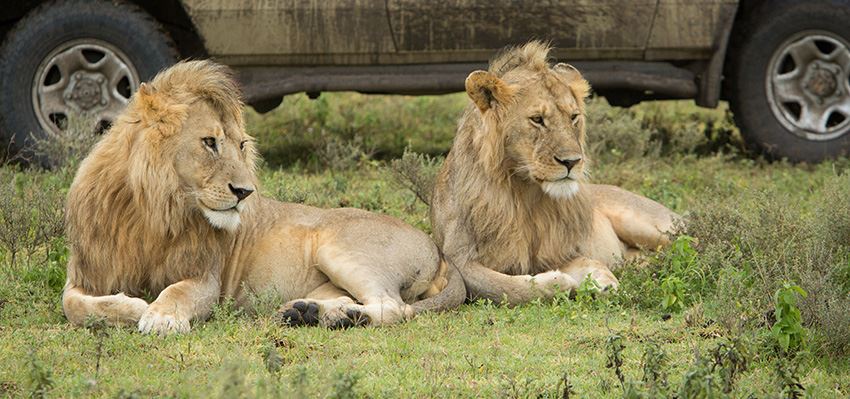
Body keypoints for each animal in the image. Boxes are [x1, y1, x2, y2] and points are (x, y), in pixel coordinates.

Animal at [63, 60, 468, 334]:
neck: (154, 211)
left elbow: (176, 292)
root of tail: (440, 252)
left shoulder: (205, 280)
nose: (245, 193)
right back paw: (309, 312)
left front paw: (158, 315)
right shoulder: (85, 271)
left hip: (340, 248)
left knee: (396, 308)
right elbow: (73, 305)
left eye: (241, 145)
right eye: (209, 142)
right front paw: (133, 307)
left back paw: (345, 318)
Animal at [430, 42, 676, 306]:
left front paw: (600, 281)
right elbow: (503, 287)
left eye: (573, 117)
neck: (525, 193)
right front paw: (563, 283)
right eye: (537, 119)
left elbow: (583, 263)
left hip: (648, 224)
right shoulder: (457, 259)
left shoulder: (561, 251)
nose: (572, 161)